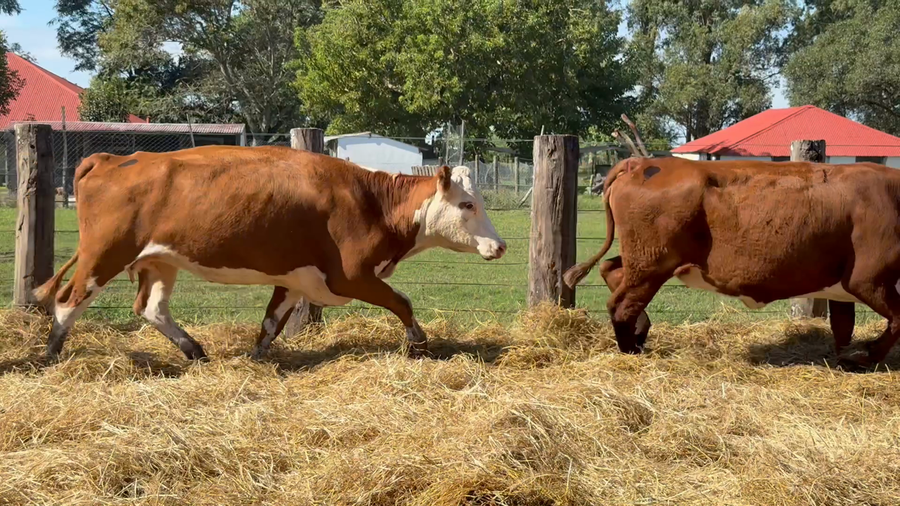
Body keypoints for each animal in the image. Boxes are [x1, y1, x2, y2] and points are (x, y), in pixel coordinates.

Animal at [33, 146, 507, 361]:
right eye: (468, 204)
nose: (499, 245)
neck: (371, 201)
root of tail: (111, 158)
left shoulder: (295, 278)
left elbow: (270, 323)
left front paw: (258, 356)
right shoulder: (351, 277)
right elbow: (401, 301)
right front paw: (419, 341)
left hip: (160, 260)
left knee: (151, 309)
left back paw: (194, 349)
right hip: (104, 255)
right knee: (68, 301)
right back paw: (51, 352)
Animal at [564, 156, 900, 368]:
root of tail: (641, 162)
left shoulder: (845, 287)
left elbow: (843, 327)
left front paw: (847, 359)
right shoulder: (869, 279)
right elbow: (897, 321)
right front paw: (866, 355)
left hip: (645, 260)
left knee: (611, 270)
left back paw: (640, 332)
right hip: (652, 263)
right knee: (621, 304)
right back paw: (631, 350)